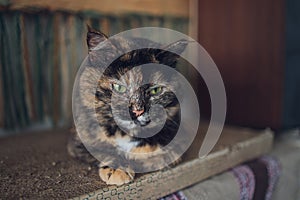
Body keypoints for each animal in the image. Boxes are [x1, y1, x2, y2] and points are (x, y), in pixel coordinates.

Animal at [68, 27, 188, 186]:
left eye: (155, 90)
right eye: (119, 87)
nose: (137, 111)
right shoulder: (79, 140)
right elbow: (105, 149)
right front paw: (118, 169)